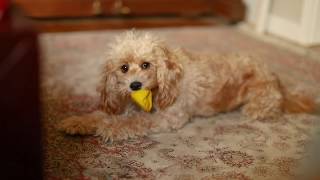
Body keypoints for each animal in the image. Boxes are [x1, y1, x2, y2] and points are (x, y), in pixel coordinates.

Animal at [58, 31, 316, 143]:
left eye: (146, 64)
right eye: (124, 67)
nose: (135, 85)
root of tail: (277, 78)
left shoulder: (169, 117)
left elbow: (136, 122)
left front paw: (111, 129)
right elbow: (100, 115)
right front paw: (78, 122)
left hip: (258, 103)